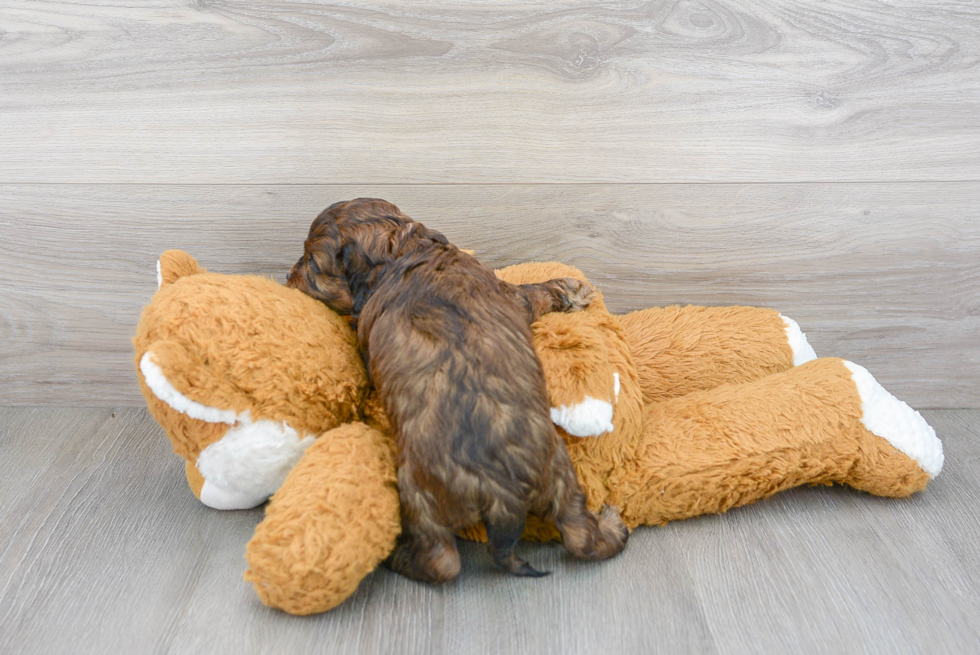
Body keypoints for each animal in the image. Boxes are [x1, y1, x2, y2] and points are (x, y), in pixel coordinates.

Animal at [290, 197, 628, 580]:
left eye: (311, 262)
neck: (403, 251)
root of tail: (502, 494)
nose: (287, 276)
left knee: (445, 560)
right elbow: (535, 293)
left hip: (425, 493)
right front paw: (572, 290)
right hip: (556, 472)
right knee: (577, 536)